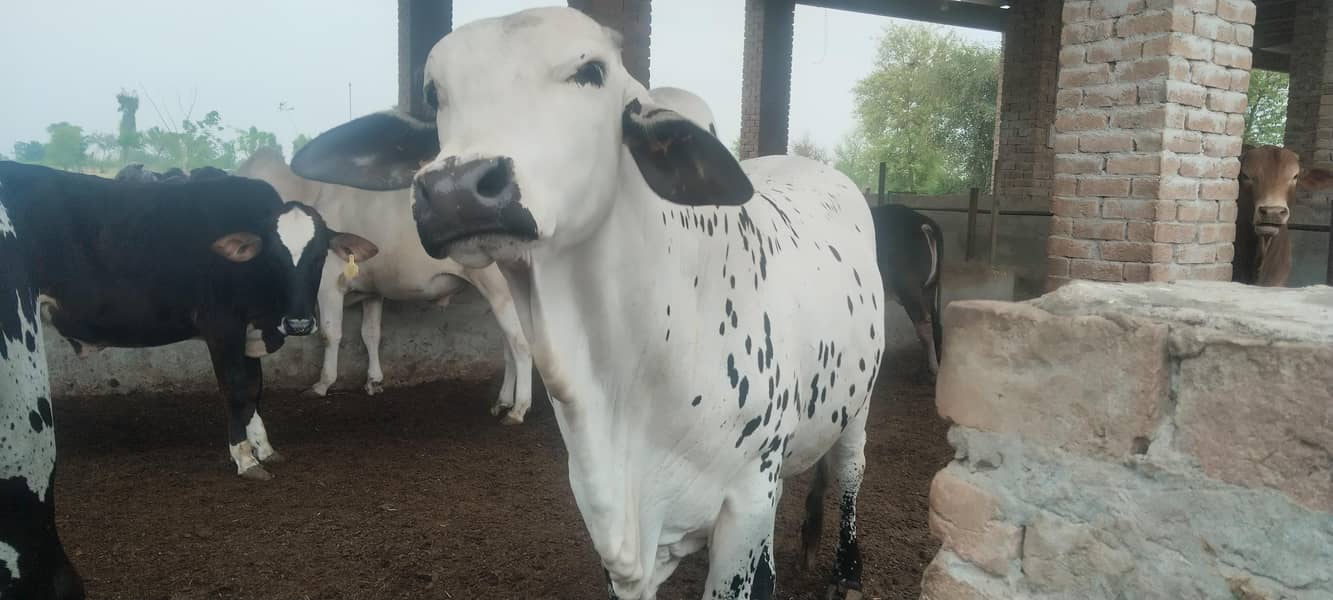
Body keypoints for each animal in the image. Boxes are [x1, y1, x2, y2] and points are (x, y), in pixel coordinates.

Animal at [0, 161, 378, 480]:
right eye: (273, 255)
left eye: (318, 256)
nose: (299, 323)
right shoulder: (222, 326)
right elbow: (236, 387)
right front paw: (244, 458)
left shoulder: (247, 331)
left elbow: (254, 388)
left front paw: (264, 447)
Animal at [234, 148, 535, 422]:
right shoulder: (372, 290)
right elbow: (370, 334)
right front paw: (373, 381)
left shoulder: (328, 284)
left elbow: (331, 334)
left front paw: (322, 384)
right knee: (509, 345)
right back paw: (502, 402)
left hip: (499, 289)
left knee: (521, 344)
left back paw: (518, 409)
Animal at [289, 8, 884, 599]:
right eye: (434, 95)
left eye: (591, 71)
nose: (455, 189)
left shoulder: (750, 501)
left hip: (859, 404)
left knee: (850, 469)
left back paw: (848, 570)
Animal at [869, 204, 943, 378]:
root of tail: (925, 223)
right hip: (929, 289)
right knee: (936, 323)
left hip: (910, 290)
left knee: (924, 325)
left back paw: (934, 368)